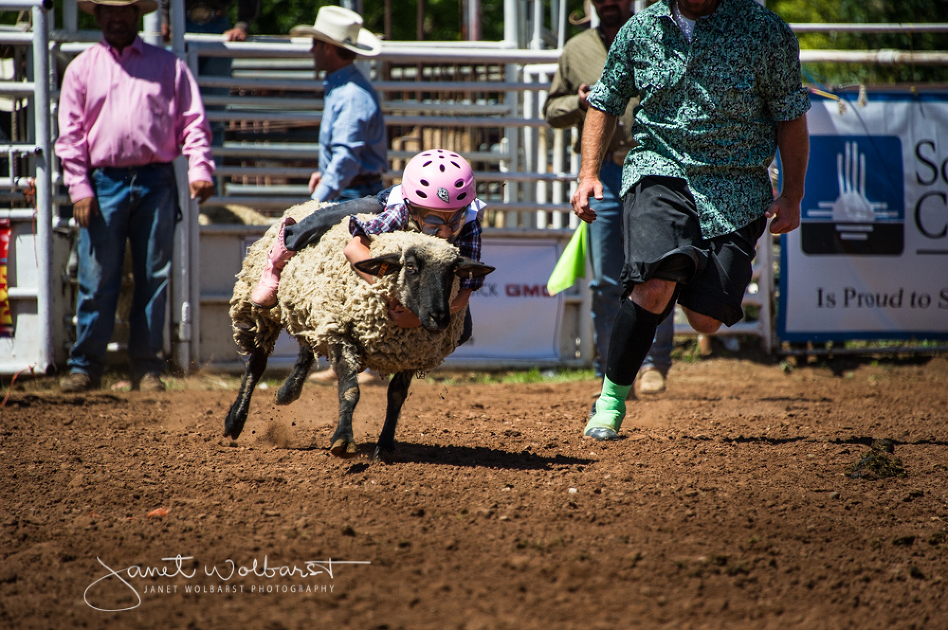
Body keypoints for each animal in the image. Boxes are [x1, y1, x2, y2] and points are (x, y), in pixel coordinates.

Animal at [225, 205, 496, 462]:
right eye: (410, 267)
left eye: (453, 272)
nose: (439, 318)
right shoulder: (339, 333)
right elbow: (350, 391)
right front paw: (343, 441)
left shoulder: (412, 353)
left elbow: (396, 397)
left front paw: (384, 448)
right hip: (263, 312)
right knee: (257, 363)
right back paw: (235, 421)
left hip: (312, 310)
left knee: (306, 348)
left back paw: (286, 393)